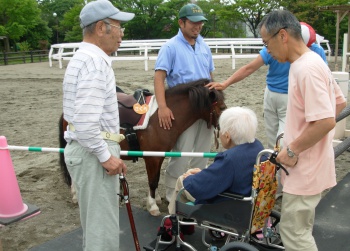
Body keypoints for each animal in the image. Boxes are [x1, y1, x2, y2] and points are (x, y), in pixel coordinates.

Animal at [58, 79, 226, 216]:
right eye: (222, 107)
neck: (161, 118)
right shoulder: (151, 158)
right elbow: (152, 181)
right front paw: (152, 206)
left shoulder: (158, 157)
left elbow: (155, 179)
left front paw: (156, 198)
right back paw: (75, 195)